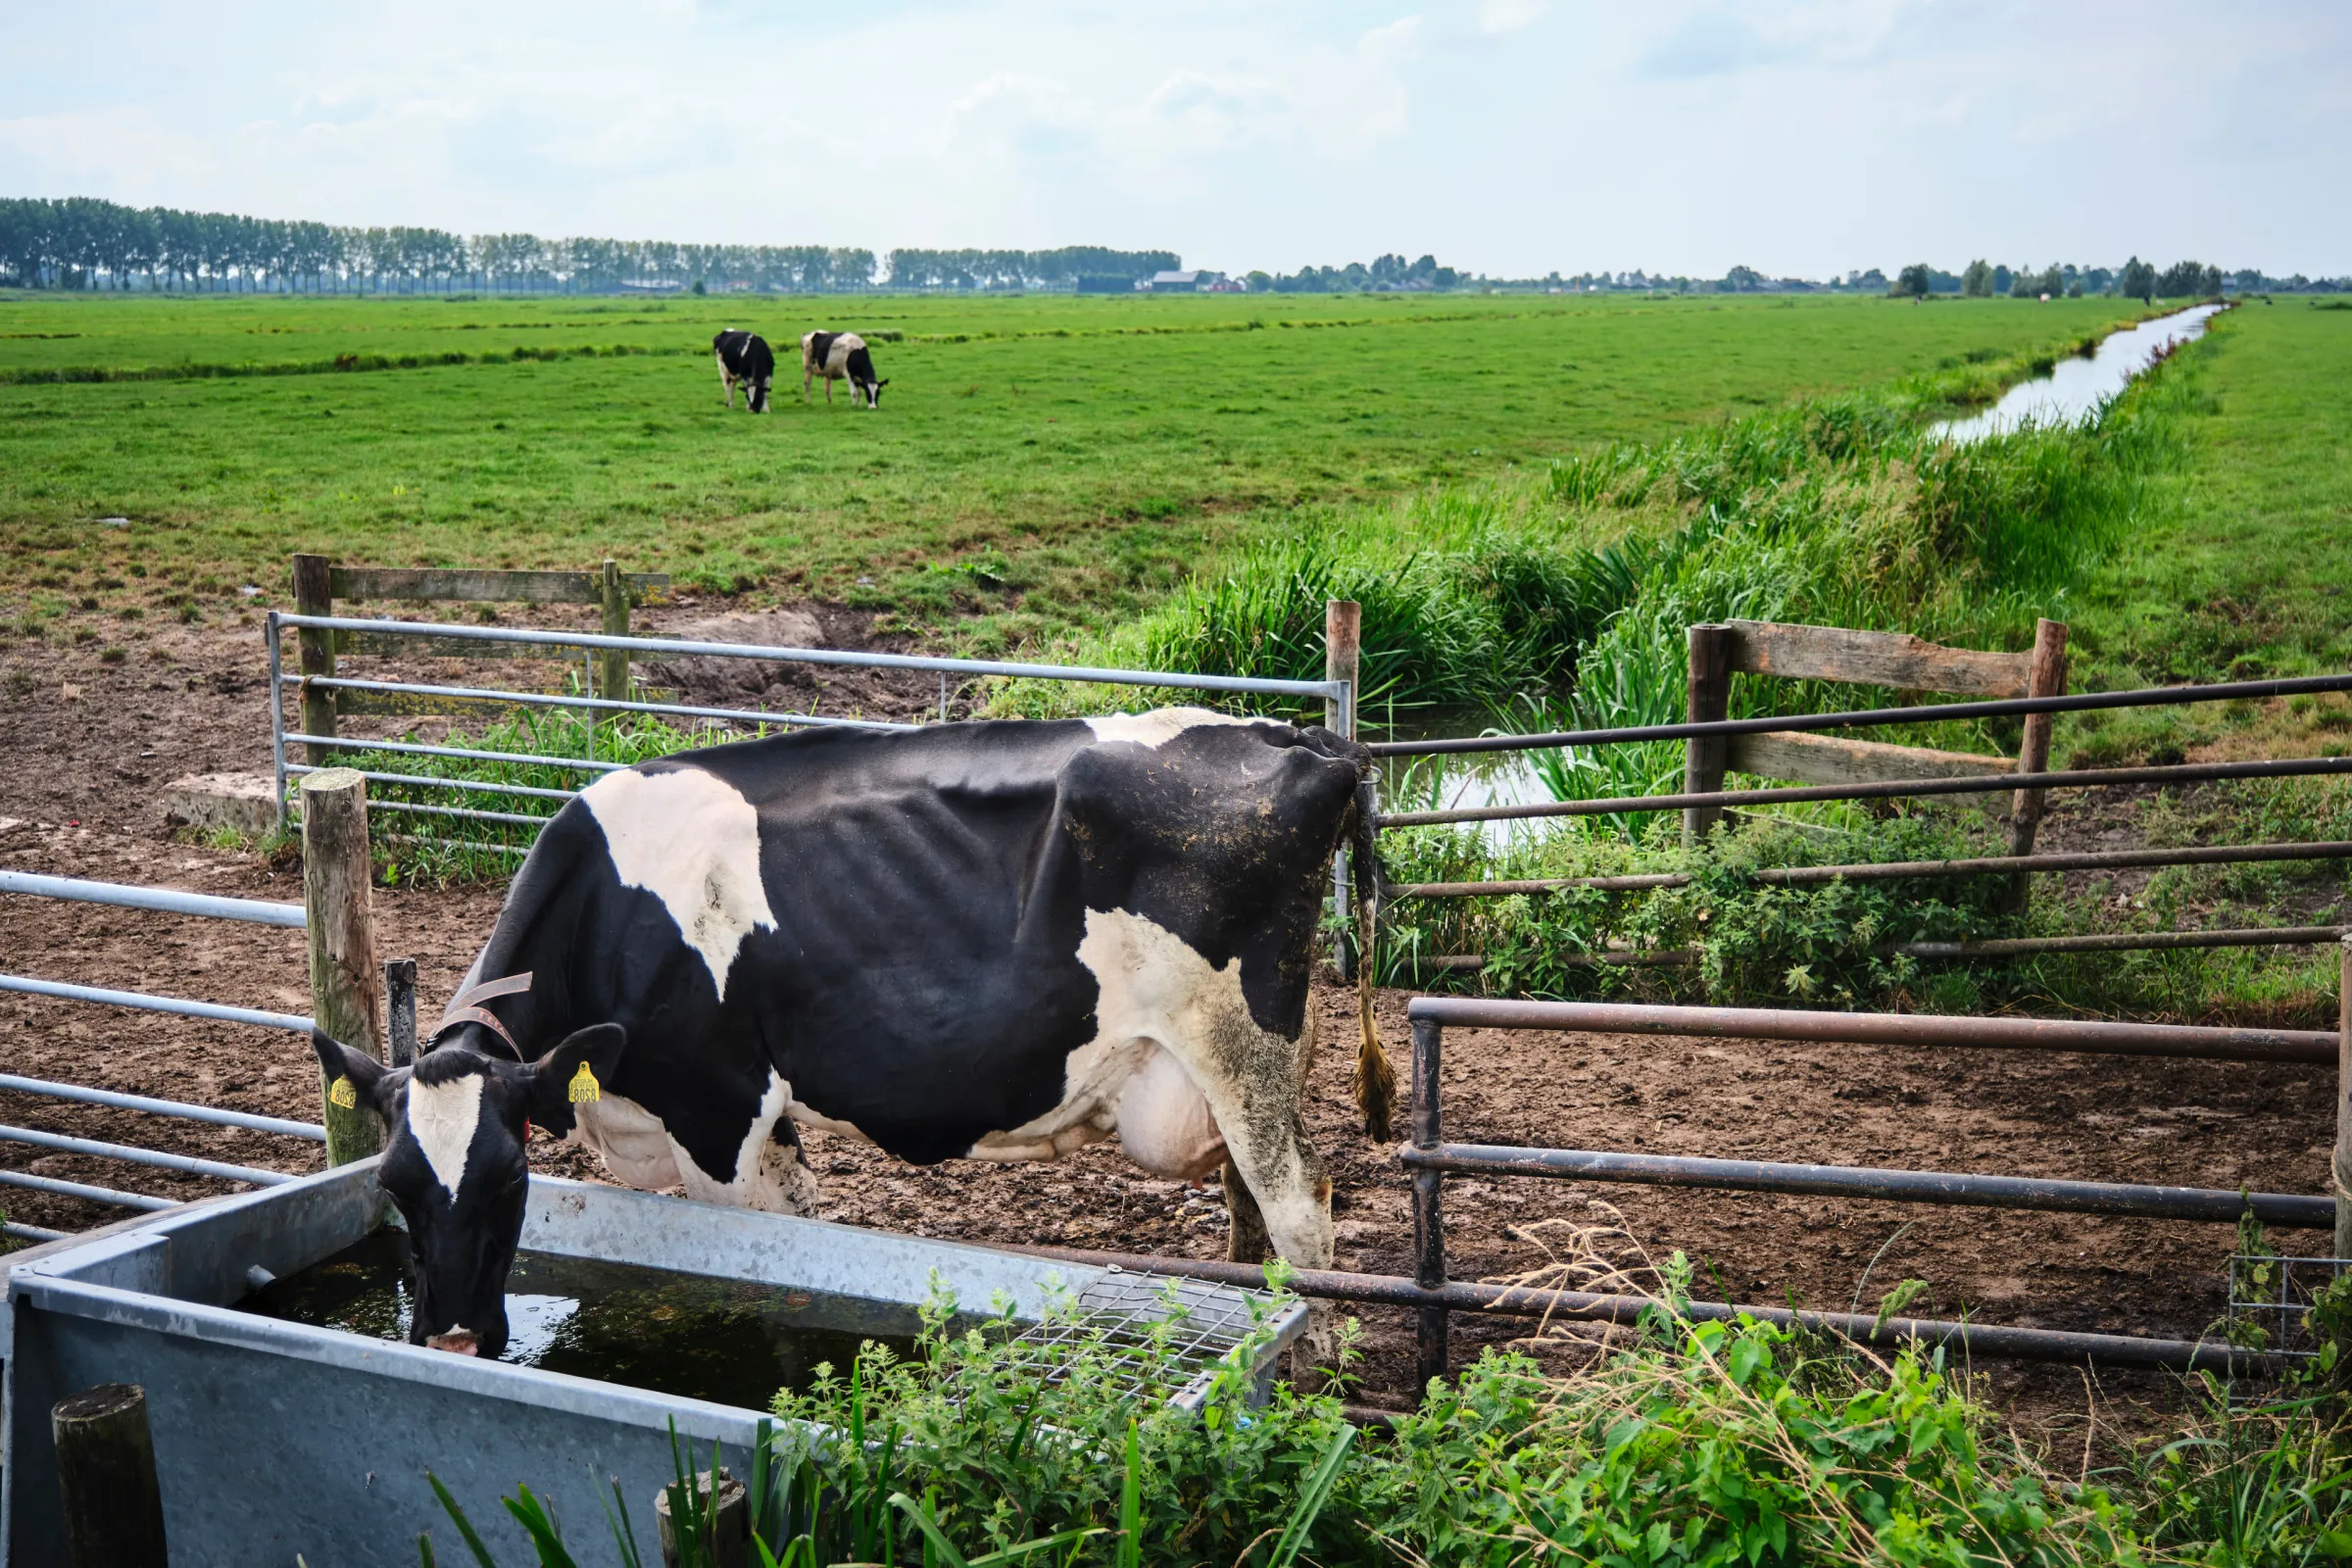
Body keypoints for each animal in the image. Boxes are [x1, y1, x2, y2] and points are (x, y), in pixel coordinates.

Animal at [310, 710, 1392, 1361]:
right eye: (394, 1186)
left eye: (506, 1180)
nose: (451, 1339)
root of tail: (1306, 742)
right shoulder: (708, 1115)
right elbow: (791, 1230)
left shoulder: (717, 1106)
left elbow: (755, 1247)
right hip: (1233, 1067)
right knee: (1251, 1200)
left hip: (1242, 1042)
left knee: (1301, 1202)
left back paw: (1319, 1361)